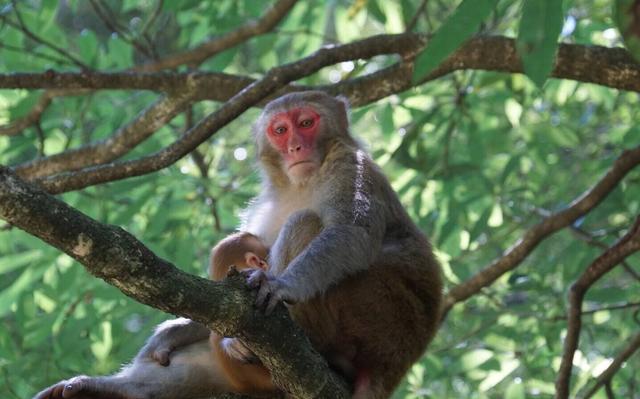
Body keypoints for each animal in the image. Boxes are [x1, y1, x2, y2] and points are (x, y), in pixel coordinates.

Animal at [35, 91, 442, 399]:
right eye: (280, 130)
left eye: (306, 123)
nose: (295, 147)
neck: (302, 181)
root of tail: (396, 366)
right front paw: (175, 330)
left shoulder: (350, 168)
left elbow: (350, 234)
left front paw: (281, 285)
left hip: (377, 315)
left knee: (306, 222)